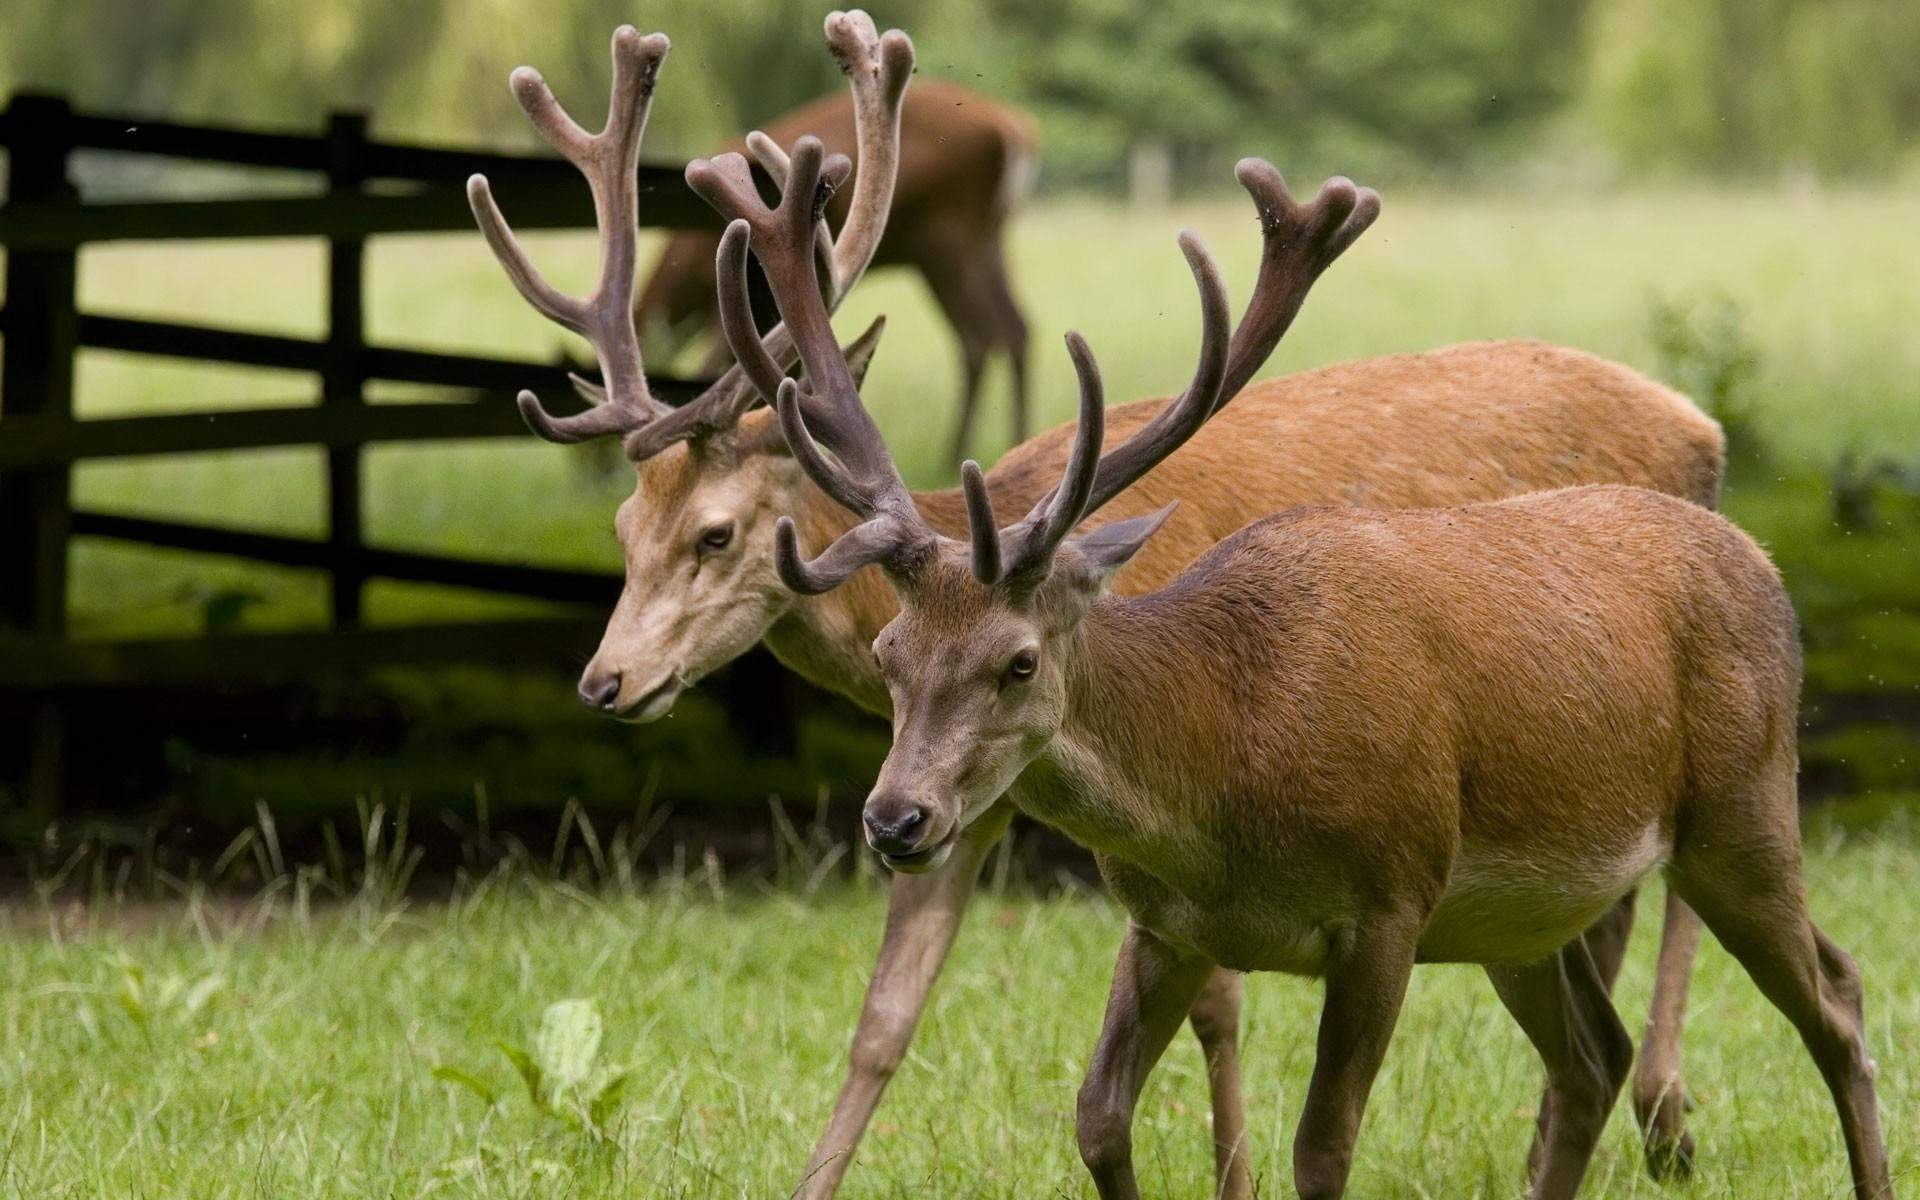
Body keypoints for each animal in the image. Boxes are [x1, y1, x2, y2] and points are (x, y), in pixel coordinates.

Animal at [634, 79, 1036, 468]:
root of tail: (1015, 131)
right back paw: (1015, 441)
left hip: (945, 237)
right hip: (990, 237)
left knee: (978, 336)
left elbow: (715, 362)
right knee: (1016, 326)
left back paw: (953, 456)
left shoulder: (732, 290)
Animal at [701, 136, 1894, 1200]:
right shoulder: (1165, 925)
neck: (1223, 776)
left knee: (1836, 995)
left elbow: (1322, 1150)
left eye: (1019, 661)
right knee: (1591, 1057)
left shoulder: (1390, 901)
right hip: (1521, 921)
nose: (894, 819)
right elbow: (1097, 1119)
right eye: (892, 654)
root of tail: (1762, 560)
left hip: (1743, 806)